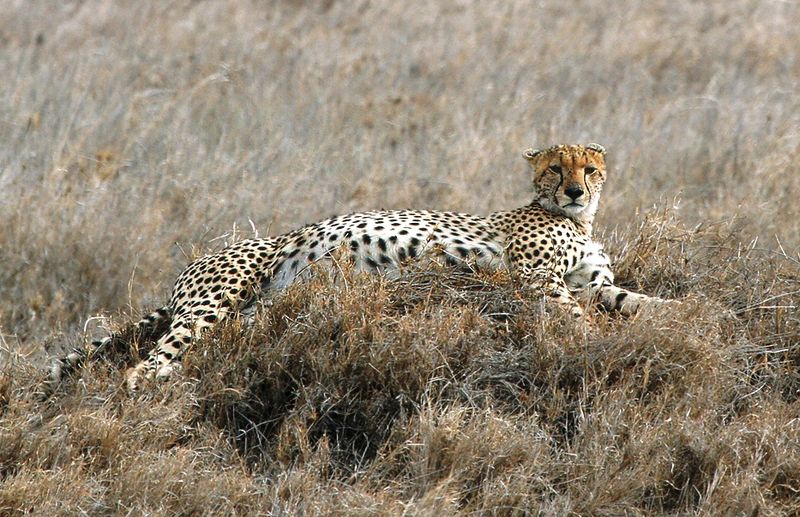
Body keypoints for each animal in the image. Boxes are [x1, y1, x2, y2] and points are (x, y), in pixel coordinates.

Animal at [50, 141, 672, 392]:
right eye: (555, 168)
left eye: (590, 168)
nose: (573, 191)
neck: (579, 221)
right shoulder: (538, 279)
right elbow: (577, 317)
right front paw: (596, 344)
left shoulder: (592, 284)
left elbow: (632, 299)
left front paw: (679, 311)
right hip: (216, 300)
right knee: (150, 361)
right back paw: (155, 380)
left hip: (256, 312)